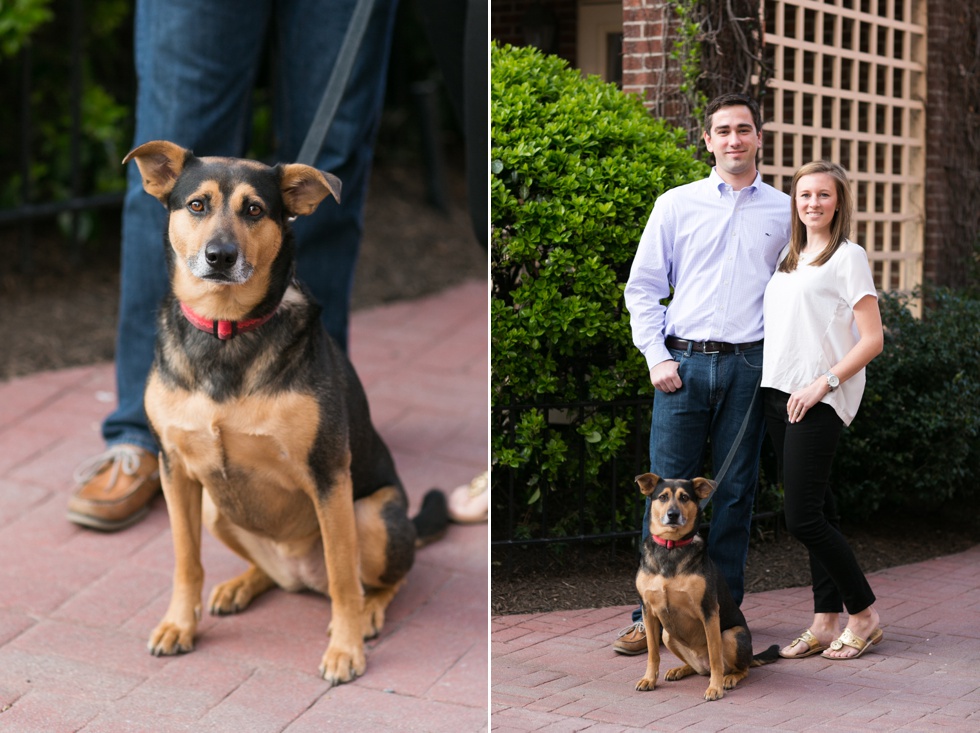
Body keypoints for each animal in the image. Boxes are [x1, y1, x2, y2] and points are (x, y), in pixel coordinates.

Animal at [122, 139, 448, 688]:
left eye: (255, 209)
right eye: (197, 205)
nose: (220, 256)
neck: (225, 329)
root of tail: (297, 570)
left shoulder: (328, 475)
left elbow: (343, 575)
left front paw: (346, 649)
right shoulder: (176, 470)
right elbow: (186, 562)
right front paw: (179, 625)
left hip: (373, 514)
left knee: (381, 579)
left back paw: (370, 612)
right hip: (215, 509)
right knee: (273, 577)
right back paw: (241, 584)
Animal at [632, 472, 776, 700]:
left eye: (684, 497)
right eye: (662, 497)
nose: (673, 515)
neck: (671, 547)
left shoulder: (709, 611)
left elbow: (716, 656)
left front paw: (715, 688)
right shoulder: (648, 611)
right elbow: (653, 653)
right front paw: (649, 679)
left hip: (732, 635)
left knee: (740, 668)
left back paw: (729, 678)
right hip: (667, 634)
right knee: (697, 668)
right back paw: (680, 669)